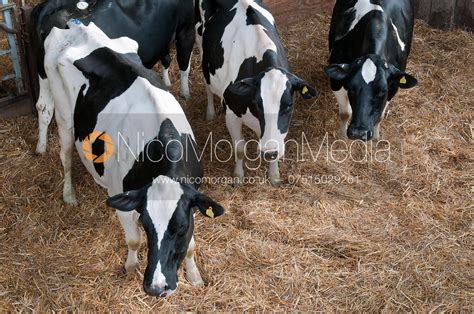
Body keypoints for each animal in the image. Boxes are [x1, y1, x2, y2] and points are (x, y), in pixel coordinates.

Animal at [32, 0, 194, 164]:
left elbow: (166, 59)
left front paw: (167, 83)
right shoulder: (187, 29)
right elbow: (184, 65)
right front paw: (185, 93)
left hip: (44, 72)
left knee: (43, 106)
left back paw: (41, 147)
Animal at [43, 21, 223, 296]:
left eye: (181, 229)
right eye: (146, 225)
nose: (157, 287)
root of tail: (77, 25)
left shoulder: (192, 198)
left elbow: (191, 246)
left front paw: (194, 276)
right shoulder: (123, 198)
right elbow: (133, 239)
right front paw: (130, 266)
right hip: (63, 114)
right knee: (65, 155)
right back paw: (69, 194)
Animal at [194, 0, 316, 186]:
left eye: (289, 106)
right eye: (257, 105)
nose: (269, 152)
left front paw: (274, 176)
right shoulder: (231, 114)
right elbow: (239, 148)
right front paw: (238, 177)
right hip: (200, 42)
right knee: (207, 84)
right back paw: (210, 112)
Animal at [324, 0, 416, 140]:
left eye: (382, 91)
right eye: (351, 88)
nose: (358, 133)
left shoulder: (393, 88)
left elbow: (380, 117)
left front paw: (376, 138)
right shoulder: (336, 82)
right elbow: (345, 113)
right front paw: (342, 137)